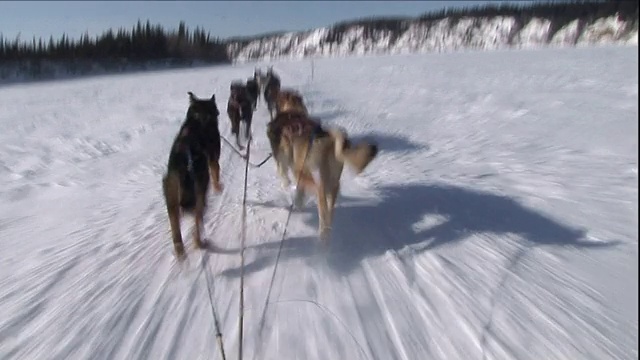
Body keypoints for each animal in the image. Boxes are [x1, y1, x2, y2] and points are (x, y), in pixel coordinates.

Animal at [162, 91, 222, 258]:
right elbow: (216, 172)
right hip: (199, 191)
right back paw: (199, 242)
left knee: (176, 231)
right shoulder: (213, 159)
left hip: (171, 195)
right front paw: (219, 187)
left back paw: (180, 252)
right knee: (197, 221)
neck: (199, 118)